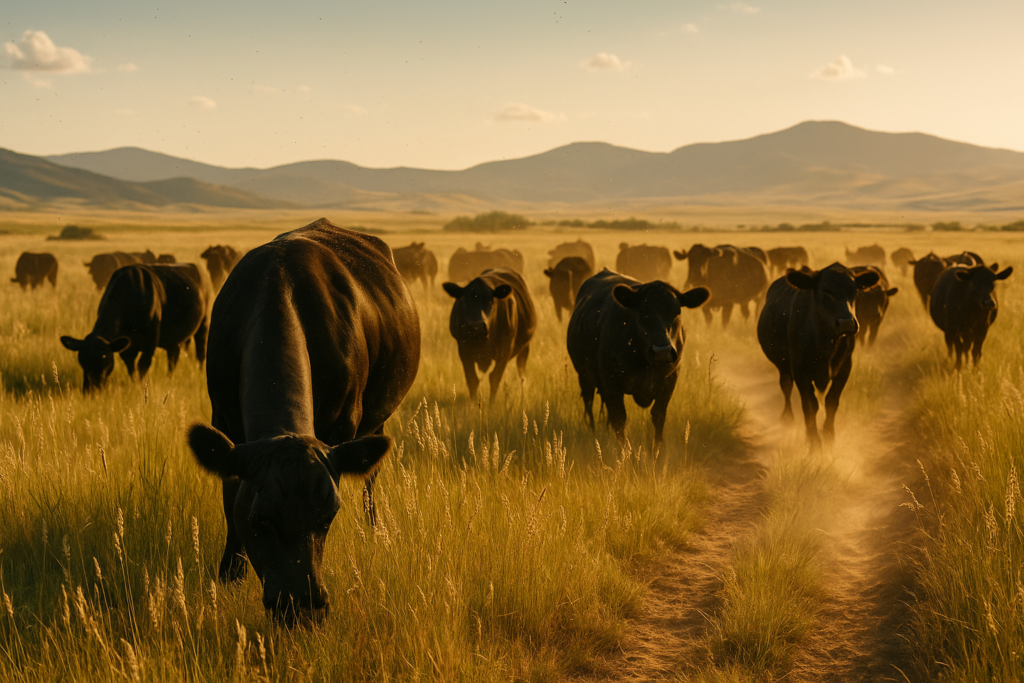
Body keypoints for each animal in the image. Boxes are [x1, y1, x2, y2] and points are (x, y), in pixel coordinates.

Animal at [61, 264, 213, 391]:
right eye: (82, 361)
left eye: (105, 361)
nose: (91, 390)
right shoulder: (127, 349)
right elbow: (131, 368)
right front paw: (133, 384)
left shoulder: (150, 344)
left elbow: (142, 367)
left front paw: (139, 387)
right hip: (175, 339)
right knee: (173, 357)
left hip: (204, 324)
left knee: (200, 353)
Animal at [186, 218, 420, 625]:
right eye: (260, 518)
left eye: (329, 516)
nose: (301, 606)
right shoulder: (225, 424)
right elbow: (229, 503)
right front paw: (229, 575)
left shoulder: (343, 428)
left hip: (377, 420)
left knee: (371, 481)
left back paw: (375, 532)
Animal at [443, 268, 536, 400]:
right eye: (464, 300)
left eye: (490, 301)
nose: (475, 326)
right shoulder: (463, 349)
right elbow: (472, 379)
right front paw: (473, 402)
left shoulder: (505, 350)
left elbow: (494, 377)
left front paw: (491, 403)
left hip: (525, 347)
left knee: (521, 369)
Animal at [567, 269, 709, 446]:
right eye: (643, 312)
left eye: (677, 312)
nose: (662, 351)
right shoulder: (610, 381)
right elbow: (619, 418)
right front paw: (624, 451)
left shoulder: (669, 380)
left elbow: (658, 416)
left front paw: (658, 450)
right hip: (585, 376)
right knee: (589, 403)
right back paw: (593, 431)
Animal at [757, 263, 880, 450]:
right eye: (825, 292)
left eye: (854, 290)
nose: (846, 323)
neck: (826, 342)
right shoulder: (800, 370)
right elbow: (810, 405)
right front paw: (813, 441)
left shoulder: (845, 367)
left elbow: (831, 401)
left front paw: (829, 435)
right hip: (784, 367)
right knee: (786, 386)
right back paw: (788, 419)